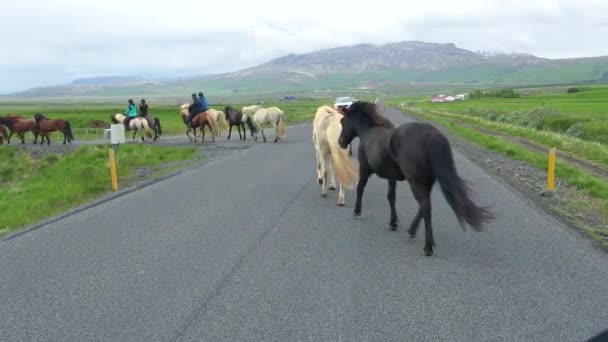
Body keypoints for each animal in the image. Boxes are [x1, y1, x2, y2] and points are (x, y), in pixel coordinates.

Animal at [338, 100, 494, 255]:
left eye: (342, 121)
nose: (340, 142)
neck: (369, 133)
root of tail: (432, 135)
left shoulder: (365, 170)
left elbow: (362, 188)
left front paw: (358, 211)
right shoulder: (392, 177)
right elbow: (391, 196)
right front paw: (393, 222)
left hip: (416, 182)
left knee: (425, 206)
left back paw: (427, 247)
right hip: (426, 182)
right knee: (425, 205)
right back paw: (414, 232)